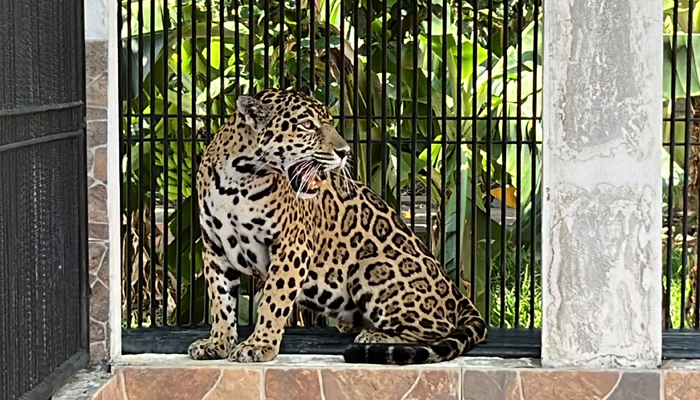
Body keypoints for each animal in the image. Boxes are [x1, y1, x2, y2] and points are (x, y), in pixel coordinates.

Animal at [187, 86, 487, 365]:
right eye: (308, 125)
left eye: (329, 122)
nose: (345, 152)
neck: (238, 179)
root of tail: (457, 294)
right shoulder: (214, 247)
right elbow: (220, 299)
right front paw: (218, 342)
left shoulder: (292, 247)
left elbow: (274, 299)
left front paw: (259, 345)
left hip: (371, 269)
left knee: (439, 329)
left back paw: (374, 335)